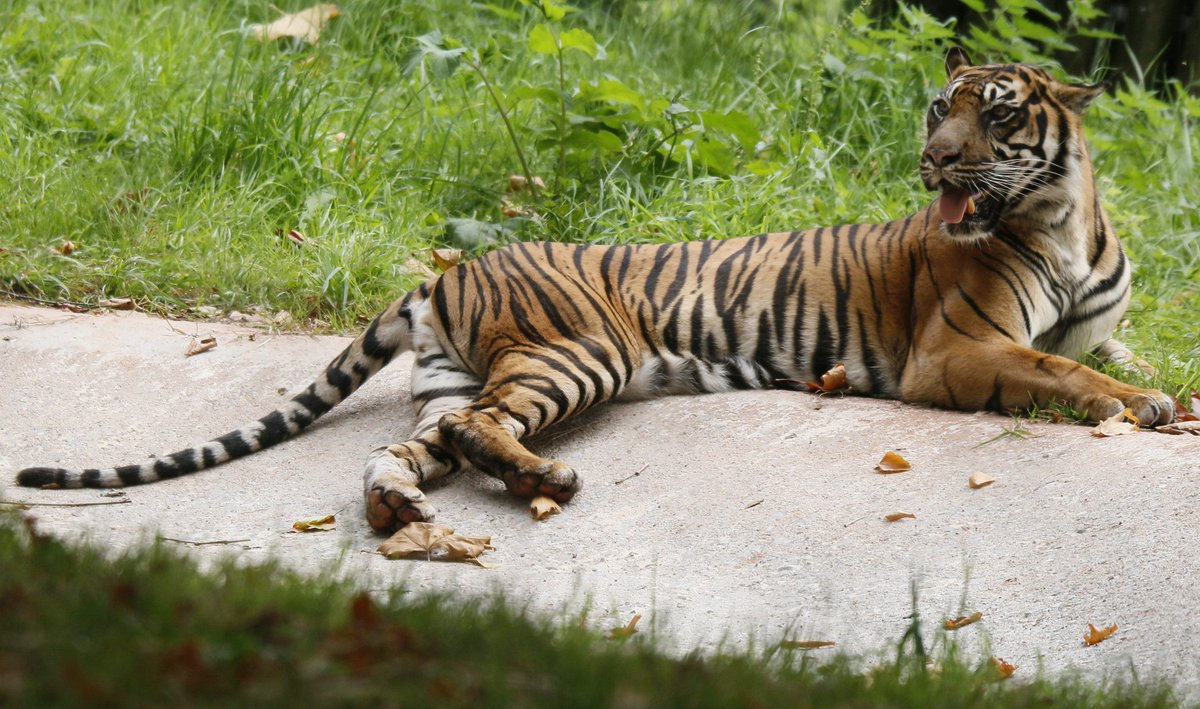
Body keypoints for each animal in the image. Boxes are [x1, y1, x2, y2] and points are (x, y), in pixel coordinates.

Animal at [15, 49, 1177, 532]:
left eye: (994, 110)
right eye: (941, 107)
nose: (934, 163)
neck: (1060, 221)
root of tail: (448, 272)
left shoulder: (1095, 327)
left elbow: (1110, 355)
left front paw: (1160, 386)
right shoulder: (957, 351)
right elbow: (1063, 373)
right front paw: (1147, 408)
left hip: (457, 381)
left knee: (420, 442)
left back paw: (400, 504)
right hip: (578, 349)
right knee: (481, 431)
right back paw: (548, 481)